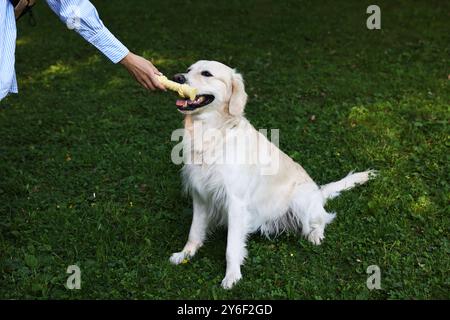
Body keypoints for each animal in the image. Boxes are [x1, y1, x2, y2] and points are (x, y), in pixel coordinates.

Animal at [169, 60, 376, 290]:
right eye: (188, 70)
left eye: (206, 73)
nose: (177, 77)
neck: (211, 132)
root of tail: (318, 192)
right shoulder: (200, 195)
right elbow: (194, 231)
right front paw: (185, 254)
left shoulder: (236, 202)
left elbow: (232, 248)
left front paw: (232, 276)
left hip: (300, 198)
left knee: (322, 219)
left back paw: (315, 235)